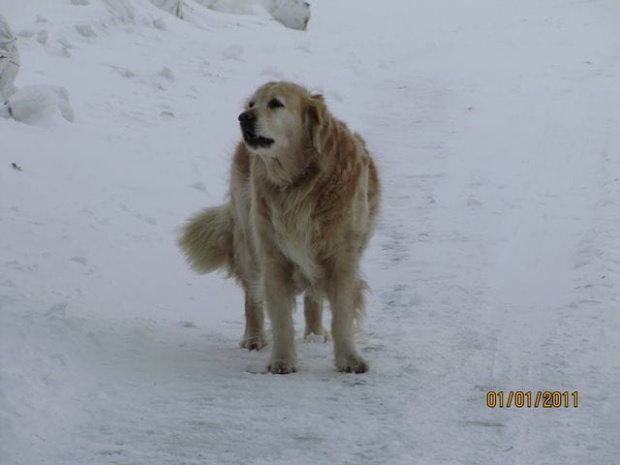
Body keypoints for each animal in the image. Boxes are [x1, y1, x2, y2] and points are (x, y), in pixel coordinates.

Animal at [179, 80, 380, 374]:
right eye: (252, 104)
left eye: (276, 103)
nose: (243, 117)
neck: (300, 181)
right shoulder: (273, 256)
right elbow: (281, 318)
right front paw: (282, 360)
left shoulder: (342, 257)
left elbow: (341, 317)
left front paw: (349, 359)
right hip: (248, 241)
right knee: (252, 296)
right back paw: (254, 337)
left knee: (313, 296)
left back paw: (315, 334)